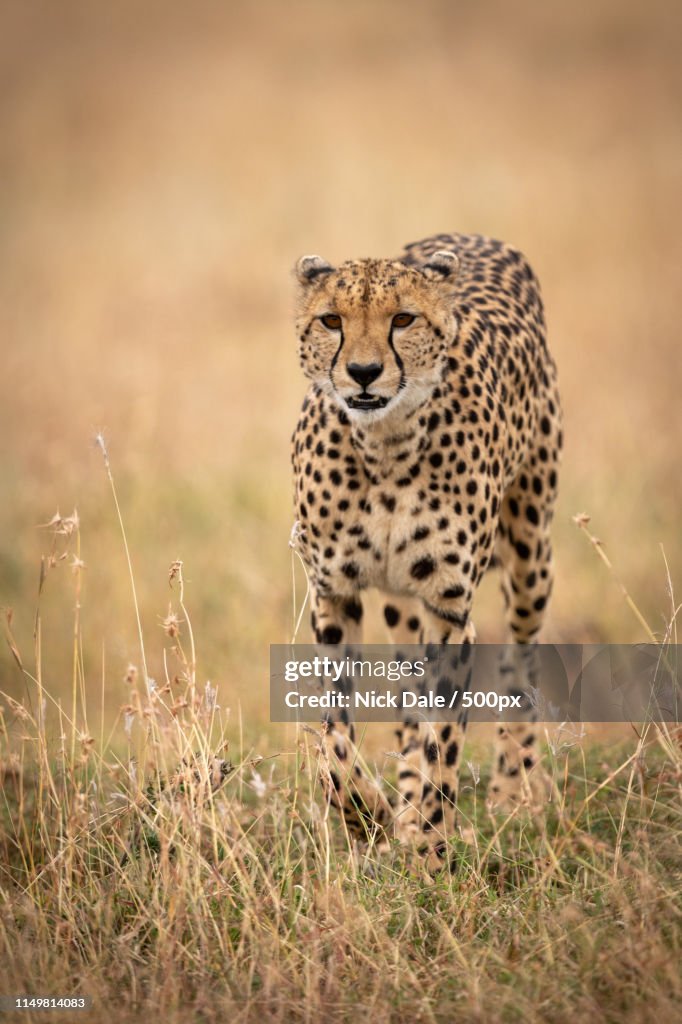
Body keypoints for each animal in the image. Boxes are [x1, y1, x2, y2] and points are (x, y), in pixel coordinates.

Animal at [288, 234, 561, 864]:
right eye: (332, 320)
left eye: (403, 319)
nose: (364, 372)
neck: (385, 446)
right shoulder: (333, 594)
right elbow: (335, 741)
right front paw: (370, 816)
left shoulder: (448, 608)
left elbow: (447, 741)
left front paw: (433, 846)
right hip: (399, 603)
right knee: (410, 700)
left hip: (531, 550)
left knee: (520, 657)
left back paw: (512, 791)